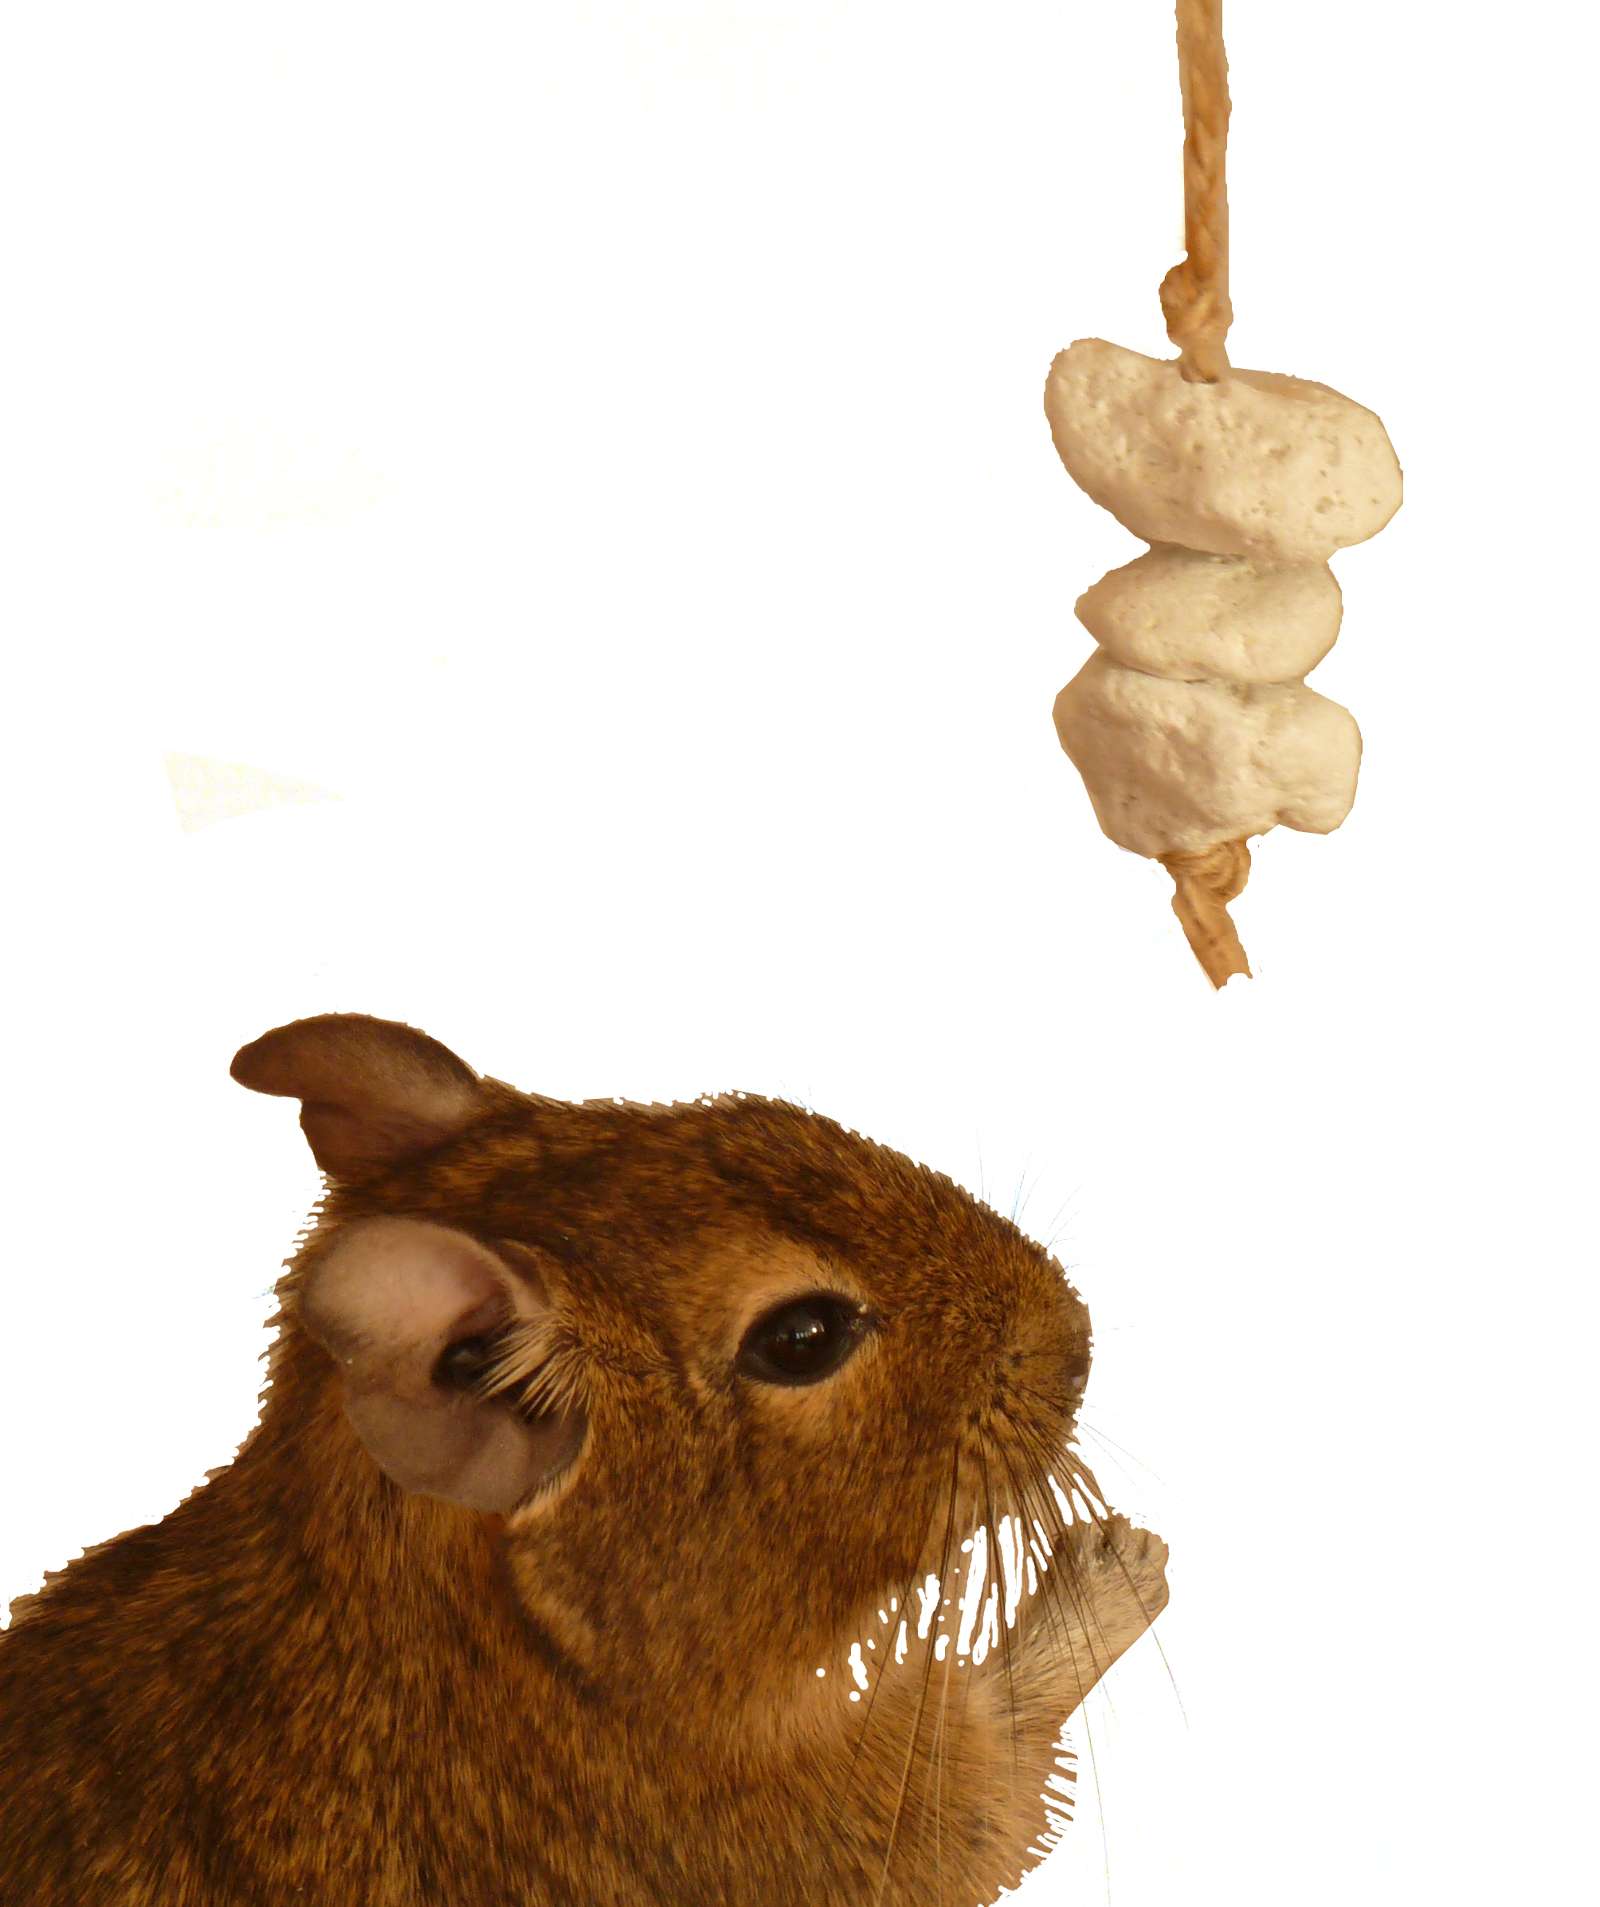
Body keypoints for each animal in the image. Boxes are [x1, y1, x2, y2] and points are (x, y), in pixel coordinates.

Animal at [0, 1014, 1169, 1905]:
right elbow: (991, 1763)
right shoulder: (828, 1833)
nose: (1077, 1333)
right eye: (802, 1337)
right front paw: (1114, 1569)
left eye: (765, 1120)